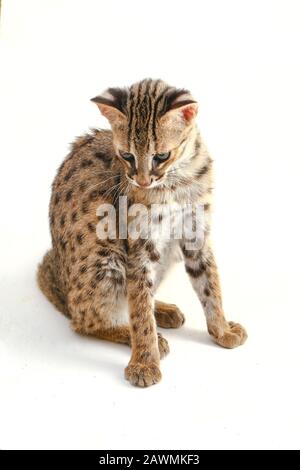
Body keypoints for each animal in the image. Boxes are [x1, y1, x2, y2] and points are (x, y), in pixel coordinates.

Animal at [37, 81, 247, 388]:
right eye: (126, 156)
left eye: (161, 156)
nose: (143, 181)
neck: (178, 180)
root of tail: (63, 291)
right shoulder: (139, 246)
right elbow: (140, 311)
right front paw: (145, 361)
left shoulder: (196, 233)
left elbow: (210, 285)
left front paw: (221, 329)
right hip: (104, 255)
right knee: (85, 321)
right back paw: (135, 334)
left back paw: (162, 310)